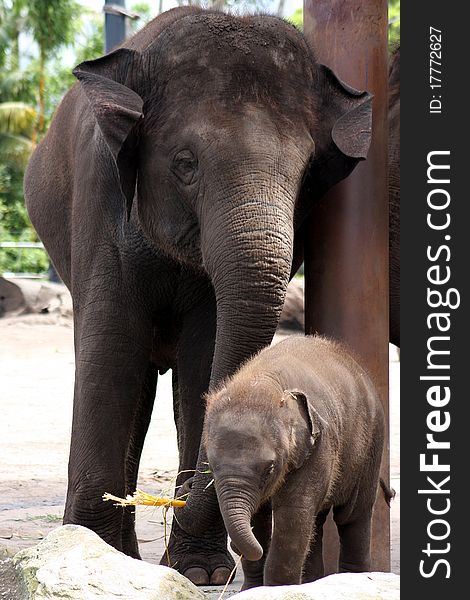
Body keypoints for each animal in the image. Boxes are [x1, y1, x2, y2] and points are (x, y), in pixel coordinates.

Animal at [24, 5, 370, 584]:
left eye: (305, 176)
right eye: (185, 164)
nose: (183, 498)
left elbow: (203, 354)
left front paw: (200, 573)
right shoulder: (99, 197)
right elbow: (111, 350)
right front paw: (86, 554)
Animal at [205, 336, 386, 588]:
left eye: (270, 468)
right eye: (211, 467)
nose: (233, 546)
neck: (262, 380)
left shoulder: (318, 446)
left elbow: (293, 513)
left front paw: (276, 589)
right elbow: (260, 517)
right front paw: (251, 589)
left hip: (371, 444)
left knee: (353, 516)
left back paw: (354, 579)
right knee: (317, 521)